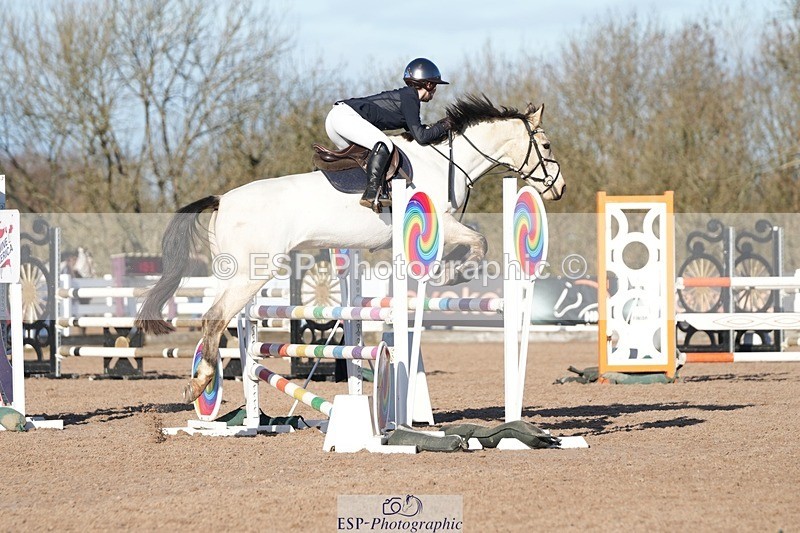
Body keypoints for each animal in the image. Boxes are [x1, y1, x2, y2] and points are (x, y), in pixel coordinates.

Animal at [135, 94, 567, 403]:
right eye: (545, 144)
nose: (559, 188)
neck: (447, 161)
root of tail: (223, 199)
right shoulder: (440, 222)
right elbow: (479, 242)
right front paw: (450, 275)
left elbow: (471, 242)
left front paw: (447, 272)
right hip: (253, 273)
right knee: (214, 318)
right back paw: (201, 382)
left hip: (236, 273)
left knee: (216, 317)